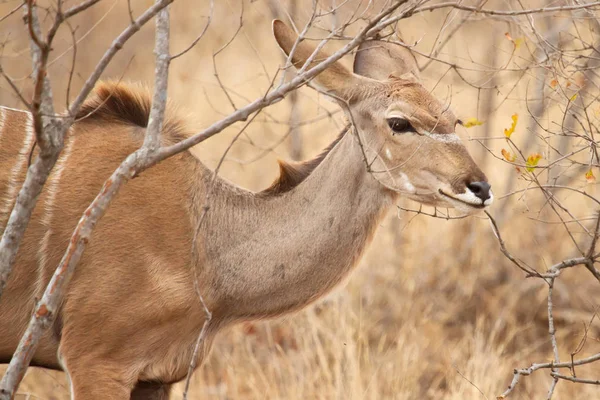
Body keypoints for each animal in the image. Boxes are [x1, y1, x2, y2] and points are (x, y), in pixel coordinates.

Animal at [0, 20, 492, 398]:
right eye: (399, 122)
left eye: (453, 118)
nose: (480, 187)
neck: (204, 244)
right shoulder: (95, 359)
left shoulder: (155, 376)